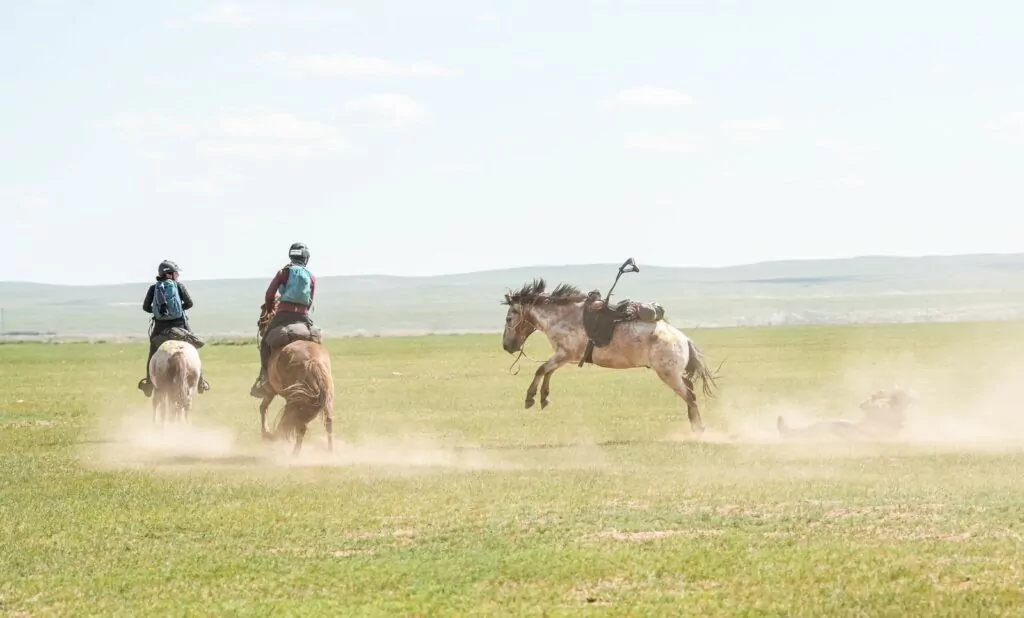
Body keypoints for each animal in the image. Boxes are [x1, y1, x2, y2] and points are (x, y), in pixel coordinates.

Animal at [256, 300, 335, 456]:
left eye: (263, 308)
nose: (259, 323)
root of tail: (312, 359)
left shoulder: (271, 390)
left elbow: (263, 408)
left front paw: (266, 433)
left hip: (296, 397)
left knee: (299, 425)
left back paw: (294, 454)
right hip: (324, 395)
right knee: (327, 422)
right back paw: (330, 451)